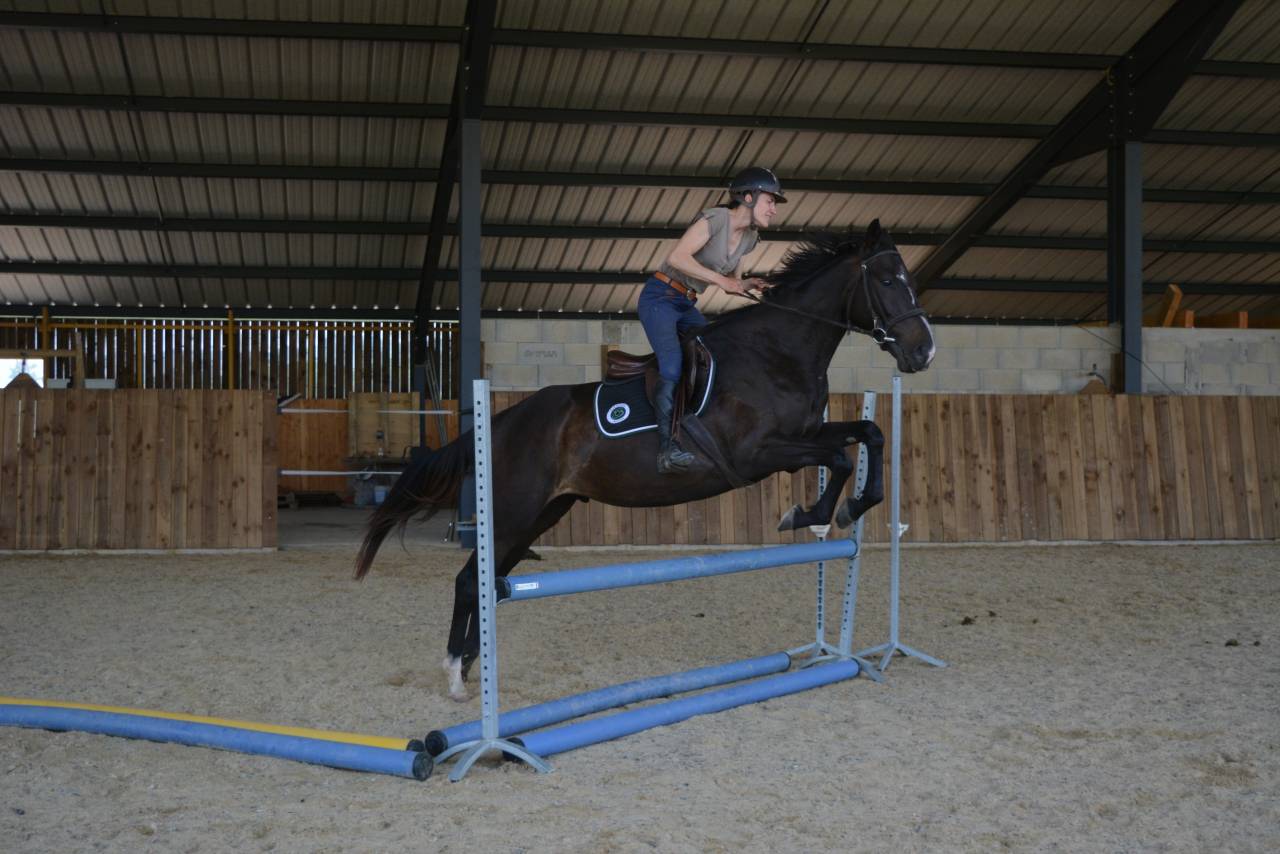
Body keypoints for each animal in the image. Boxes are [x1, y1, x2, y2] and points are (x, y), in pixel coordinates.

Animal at [356, 219, 935, 699]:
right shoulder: (759, 453)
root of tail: (497, 422)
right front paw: (807, 514)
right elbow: (839, 457)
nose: (924, 351)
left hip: (542, 515)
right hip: (515, 511)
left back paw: (471, 667)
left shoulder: (806, 433)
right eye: (887, 281)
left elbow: (869, 434)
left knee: (490, 584)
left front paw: (852, 507)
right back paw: (457, 677)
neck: (777, 351)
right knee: (469, 581)